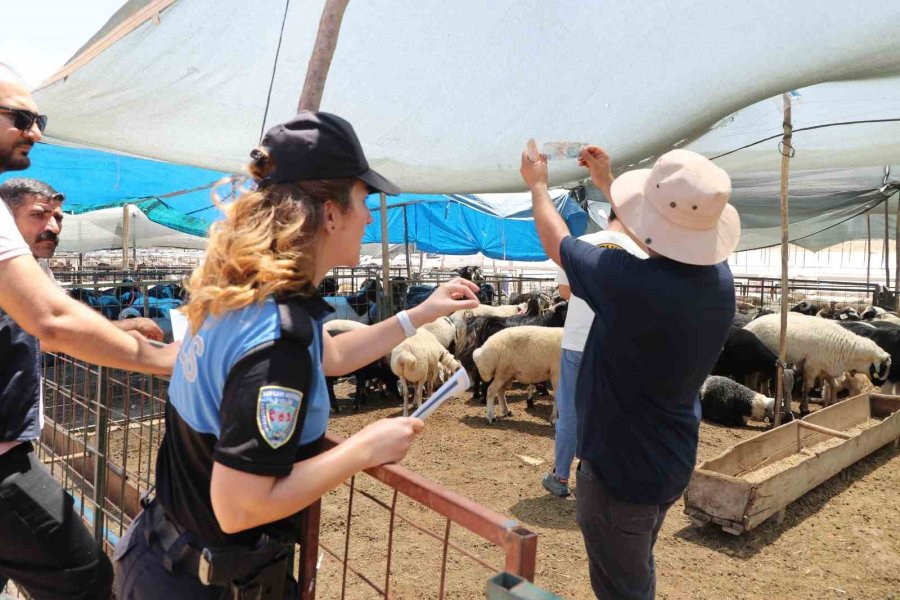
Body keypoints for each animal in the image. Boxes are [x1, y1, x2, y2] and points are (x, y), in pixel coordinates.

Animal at [744, 312, 884, 414]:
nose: (880, 386)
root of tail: (748, 326)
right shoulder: (812, 367)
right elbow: (808, 388)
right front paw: (804, 408)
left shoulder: (827, 368)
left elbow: (832, 385)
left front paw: (833, 403)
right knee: (753, 379)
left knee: (763, 380)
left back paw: (768, 395)